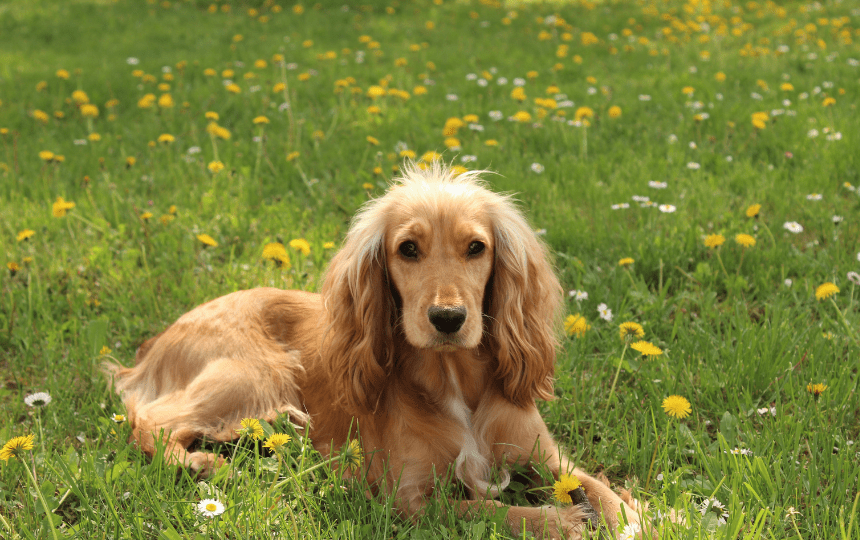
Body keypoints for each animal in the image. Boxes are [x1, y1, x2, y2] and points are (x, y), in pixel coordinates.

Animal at [107, 162, 640, 536]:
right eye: (407, 249)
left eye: (476, 247)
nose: (448, 318)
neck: (454, 381)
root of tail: (158, 342)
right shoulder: (408, 498)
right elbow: (487, 510)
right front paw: (560, 521)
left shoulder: (547, 458)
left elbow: (601, 489)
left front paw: (641, 517)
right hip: (254, 374)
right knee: (150, 421)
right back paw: (200, 462)